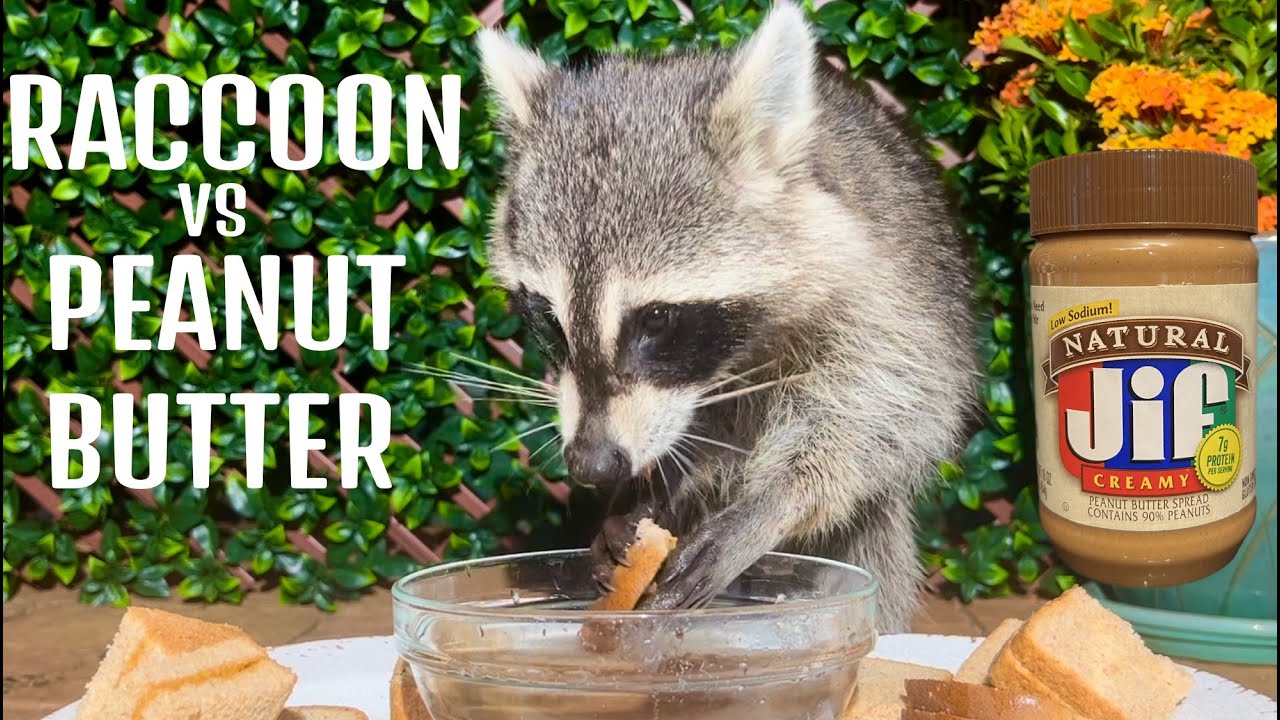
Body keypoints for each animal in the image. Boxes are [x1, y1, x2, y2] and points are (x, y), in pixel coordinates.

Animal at [475, 1, 977, 632]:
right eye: (548, 319)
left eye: (657, 320)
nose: (593, 466)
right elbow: (699, 429)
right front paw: (658, 487)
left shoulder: (890, 293)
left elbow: (889, 411)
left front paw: (774, 501)